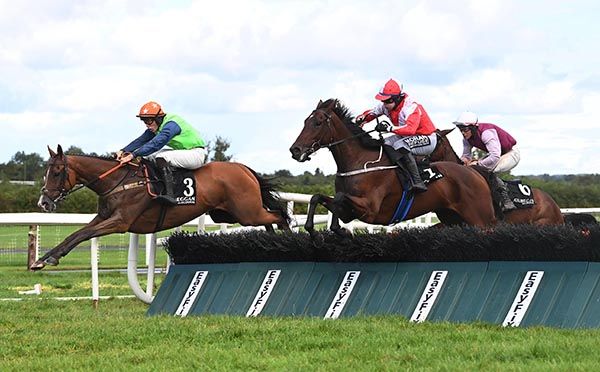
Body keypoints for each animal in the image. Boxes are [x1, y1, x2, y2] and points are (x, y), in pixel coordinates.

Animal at [32, 145, 290, 270]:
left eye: (57, 172)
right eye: (45, 171)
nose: (43, 202)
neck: (118, 181)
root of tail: (244, 169)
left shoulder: (120, 222)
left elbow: (84, 234)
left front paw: (49, 259)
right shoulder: (103, 217)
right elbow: (75, 234)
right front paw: (43, 259)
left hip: (247, 213)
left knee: (279, 215)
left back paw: (286, 243)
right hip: (227, 214)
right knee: (271, 218)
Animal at [290, 100, 496, 237]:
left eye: (317, 123)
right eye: (305, 121)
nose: (295, 150)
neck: (358, 161)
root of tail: (474, 172)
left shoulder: (370, 209)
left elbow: (340, 198)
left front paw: (340, 230)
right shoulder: (350, 212)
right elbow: (317, 197)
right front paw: (313, 230)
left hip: (480, 220)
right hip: (452, 218)